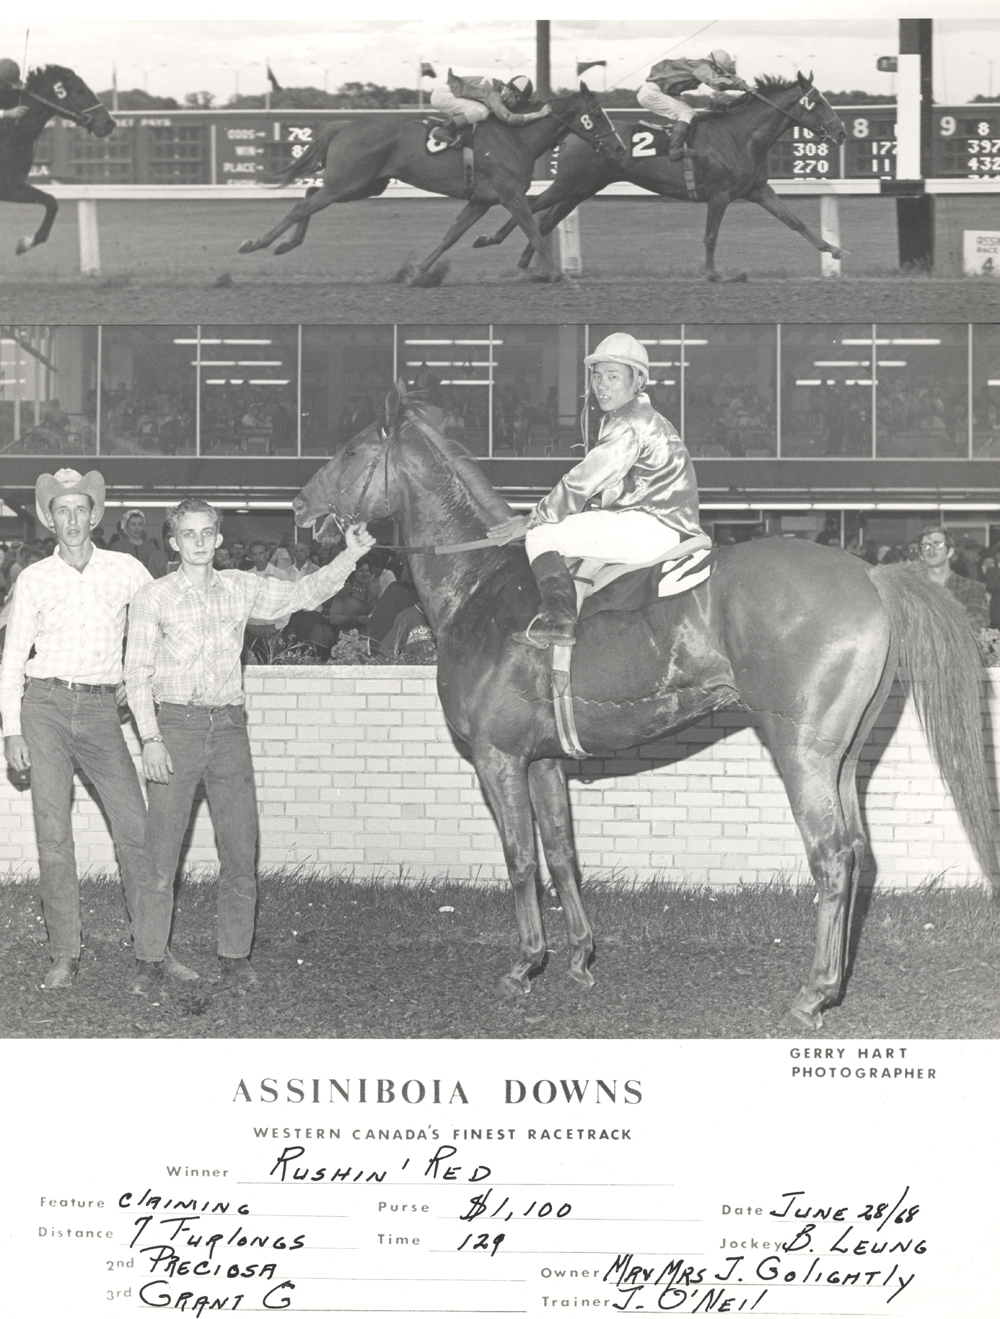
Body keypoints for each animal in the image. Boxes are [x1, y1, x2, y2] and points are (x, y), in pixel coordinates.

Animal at [0, 65, 115, 257]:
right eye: (79, 90)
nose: (109, 123)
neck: (10, 131)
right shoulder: (7, 187)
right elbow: (51, 202)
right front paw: (26, 243)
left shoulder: (15, 184)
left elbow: (52, 202)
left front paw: (26, 243)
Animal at [237, 86, 627, 287]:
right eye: (597, 114)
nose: (620, 148)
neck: (516, 136)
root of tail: (346, 125)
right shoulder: (510, 194)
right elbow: (533, 230)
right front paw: (561, 276)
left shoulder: (482, 200)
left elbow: (451, 234)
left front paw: (417, 272)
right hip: (348, 182)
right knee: (303, 204)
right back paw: (257, 243)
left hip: (362, 185)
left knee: (307, 195)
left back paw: (285, 244)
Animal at [298, 387, 1000, 1028]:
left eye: (351, 450)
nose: (303, 506)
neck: (479, 586)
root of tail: (869, 574)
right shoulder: (542, 761)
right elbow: (561, 853)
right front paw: (578, 957)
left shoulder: (497, 760)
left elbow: (520, 860)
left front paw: (525, 965)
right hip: (844, 757)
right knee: (856, 849)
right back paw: (838, 978)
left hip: (800, 752)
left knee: (831, 855)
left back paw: (814, 992)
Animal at [474, 72, 849, 280]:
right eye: (817, 101)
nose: (841, 131)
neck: (740, 136)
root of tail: (575, 134)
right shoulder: (720, 195)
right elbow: (710, 236)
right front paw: (713, 274)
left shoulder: (758, 190)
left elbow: (794, 221)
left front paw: (833, 249)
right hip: (569, 182)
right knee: (535, 205)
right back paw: (489, 239)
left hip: (582, 187)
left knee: (547, 217)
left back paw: (526, 264)